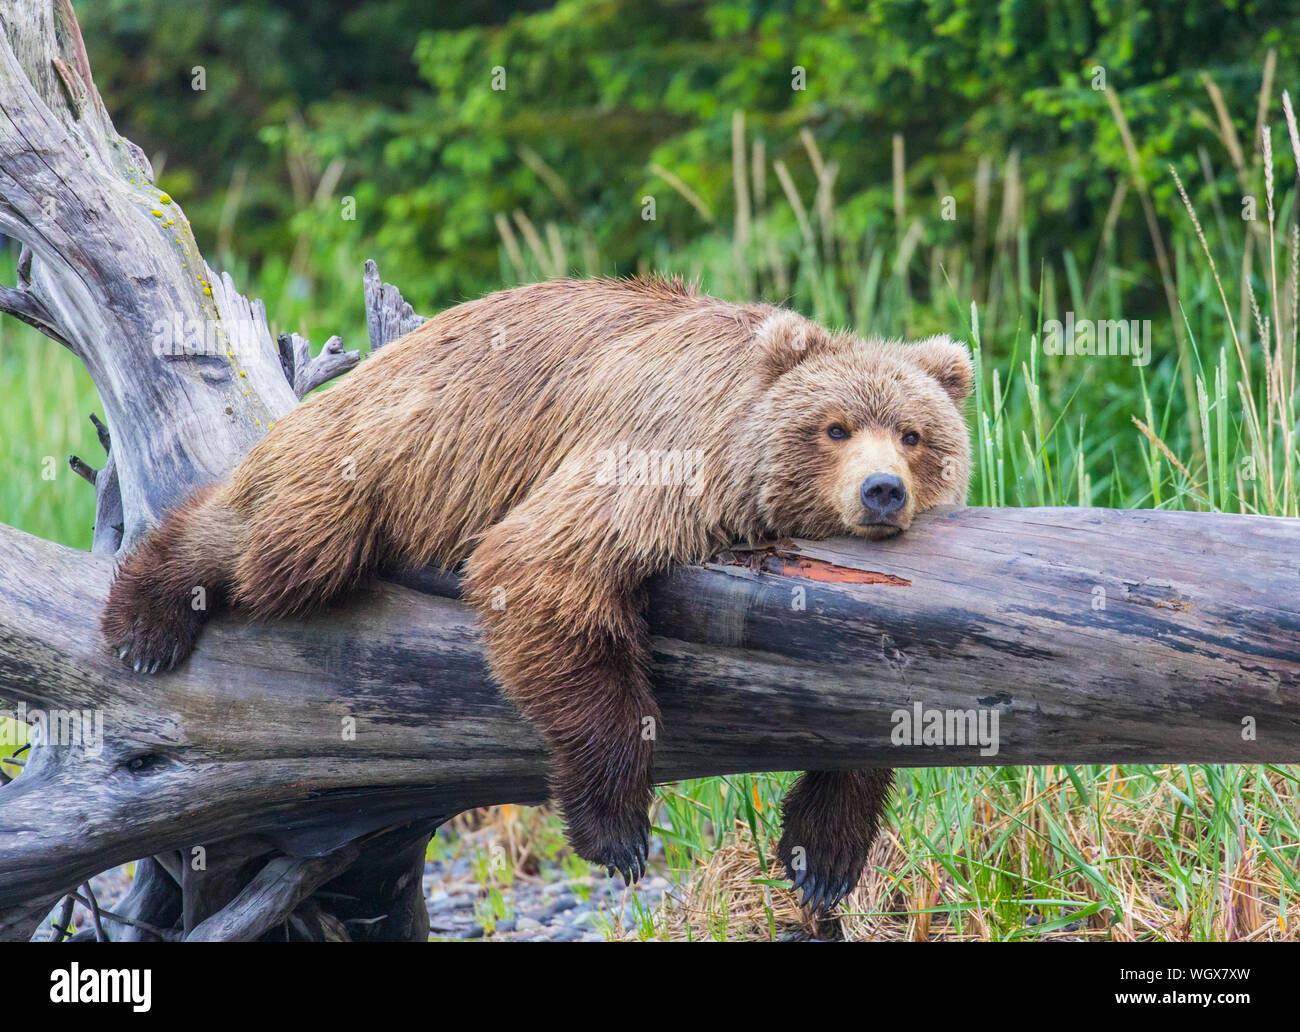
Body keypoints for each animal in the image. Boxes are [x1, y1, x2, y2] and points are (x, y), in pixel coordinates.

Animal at [101, 272, 972, 909]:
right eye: (834, 427)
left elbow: (863, 710)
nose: (883, 492)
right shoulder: (662, 457)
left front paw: (821, 854)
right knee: (279, 549)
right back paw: (148, 617)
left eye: (913, 433)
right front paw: (618, 830)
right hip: (383, 456)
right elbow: (543, 572)